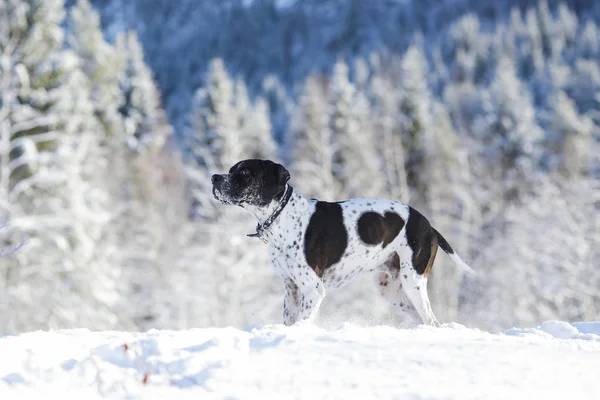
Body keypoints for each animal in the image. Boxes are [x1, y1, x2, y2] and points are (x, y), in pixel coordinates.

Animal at [211, 158, 474, 326]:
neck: (283, 217)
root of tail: (429, 226)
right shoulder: (291, 288)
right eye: (231, 169)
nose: (214, 178)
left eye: (245, 172)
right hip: (391, 288)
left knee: (431, 320)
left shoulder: (313, 289)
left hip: (414, 282)